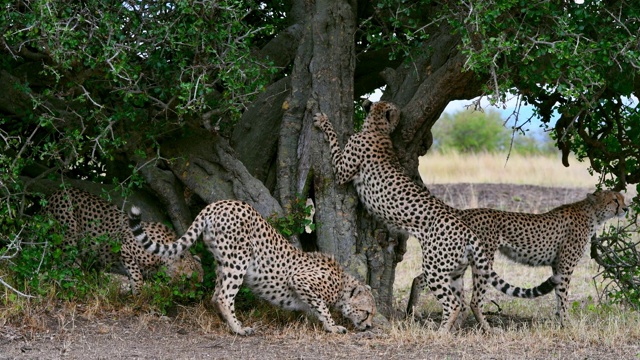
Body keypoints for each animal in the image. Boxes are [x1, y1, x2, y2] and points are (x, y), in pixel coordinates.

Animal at [44, 187, 202, 294]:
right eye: (189, 279)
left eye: (200, 281)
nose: (192, 296)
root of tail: (57, 191)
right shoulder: (124, 246)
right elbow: (137, 275)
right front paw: (137, 295)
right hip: (67, 238)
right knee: (63, 266)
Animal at [127, 200, 376, 334]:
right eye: (366, 312)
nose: (369, 326)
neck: (342, 284)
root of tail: (219, 203)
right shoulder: (300, 280)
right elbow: (323, 308)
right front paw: (334, 327)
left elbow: (315, 310)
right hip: (238, 260)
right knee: (224, 296)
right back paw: (239, 329)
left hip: (222, 260)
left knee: (215, 294)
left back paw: (226, 323)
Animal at [316, 99, 560, 332]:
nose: (401, 113)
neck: (377, 129)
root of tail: (465, 227)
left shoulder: (342, 172)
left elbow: (334, 144)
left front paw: (323, 121)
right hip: (455, 270)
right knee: (461, 302)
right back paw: (450, 329)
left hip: (434, 268)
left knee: (452, 303)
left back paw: (440, 333)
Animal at [410, 191, 624, 326]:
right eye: (614, 199)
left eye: (622, 198)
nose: (626, 208)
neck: (592, 214)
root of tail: (462, 212)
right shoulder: (565, 266)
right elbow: (563, 297)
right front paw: (567, 323)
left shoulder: (557, 267)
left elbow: (558, 296)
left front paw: (560, 321)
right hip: (481, 259)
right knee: (473, 300)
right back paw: (485, 328)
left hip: (458, 259)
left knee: (423, 279)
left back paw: (422, 314)